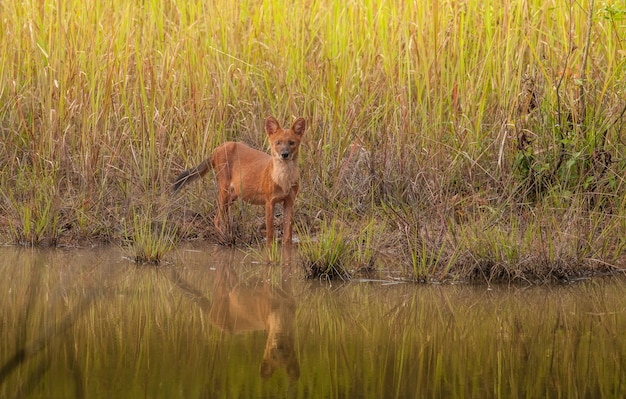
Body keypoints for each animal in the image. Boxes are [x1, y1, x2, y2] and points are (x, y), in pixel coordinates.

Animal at [173, 117, 304, 245]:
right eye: (278, 142)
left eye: (291, 142)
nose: (284, 154)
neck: (284, 179)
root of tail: (218, 148)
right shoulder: (269, 202)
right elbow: (270, 235)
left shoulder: (289, 201)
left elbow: (288, 236)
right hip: (224, 189)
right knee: (217, 218)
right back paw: (225, 240)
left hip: (233, 195)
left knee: (222, 217)